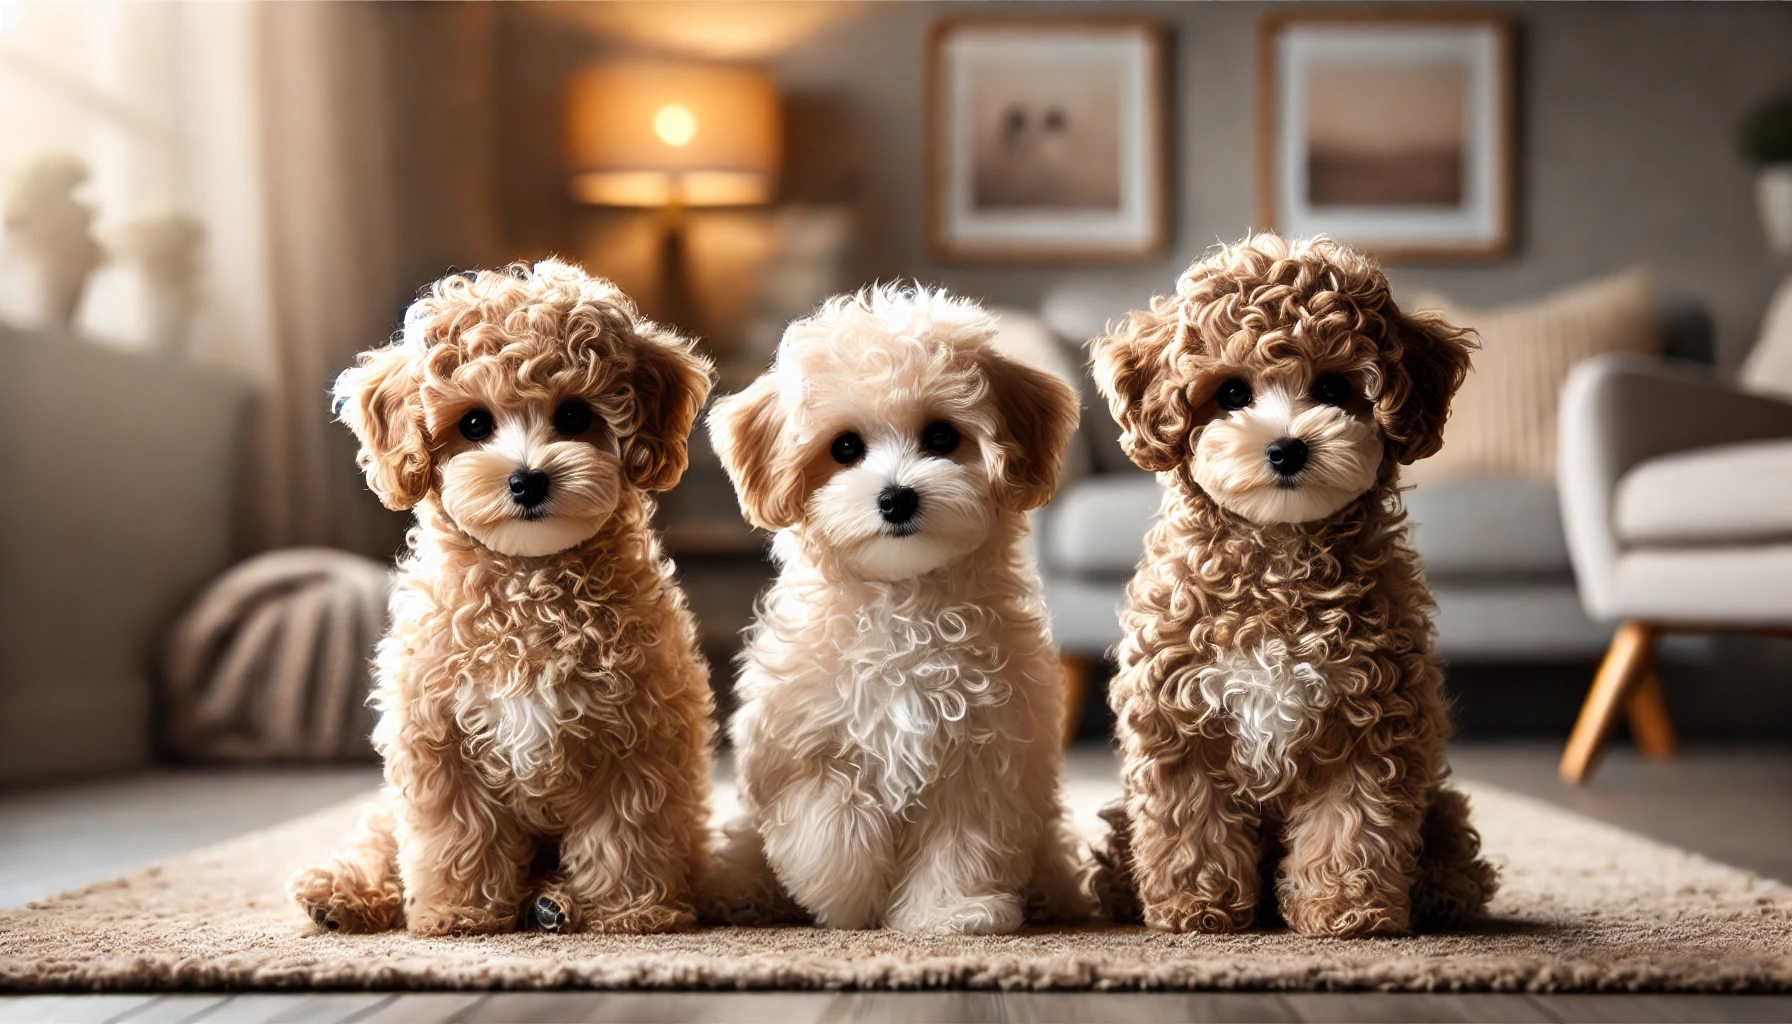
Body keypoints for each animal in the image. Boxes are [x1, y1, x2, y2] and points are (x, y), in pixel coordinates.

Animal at [286, 261, 713, 939]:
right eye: (474, 424)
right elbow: (456, 835)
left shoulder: (639, 736)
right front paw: (458, 913)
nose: (528, 479)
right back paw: (339, 893)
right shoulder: (436, 737)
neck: (528, 582)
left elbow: (625, 831)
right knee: (379, 840)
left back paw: (553, 903)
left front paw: (633, 912)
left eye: (575, 416)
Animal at [706, 285, 1082, 932]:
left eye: (941, 437)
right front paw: (848, 897)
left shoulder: (983, 755)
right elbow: (830, 818)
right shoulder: (804, 742)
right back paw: (742, 892)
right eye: (845, 447)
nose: (897, 497)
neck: (904, 604)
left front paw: (950, 911)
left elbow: (963, 842)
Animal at [1089, 236, 1498, 939]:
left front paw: (1346, 909)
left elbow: (1354, 823)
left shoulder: (1373, 717)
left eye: (1333, 386)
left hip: (1439, 796)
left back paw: (1445, 892)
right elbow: (1191, 820)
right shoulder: (1179, 717)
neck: (1277, 558)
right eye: (1231, 392)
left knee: (1450, 837)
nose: (1286, 449)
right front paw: (1198, 907)